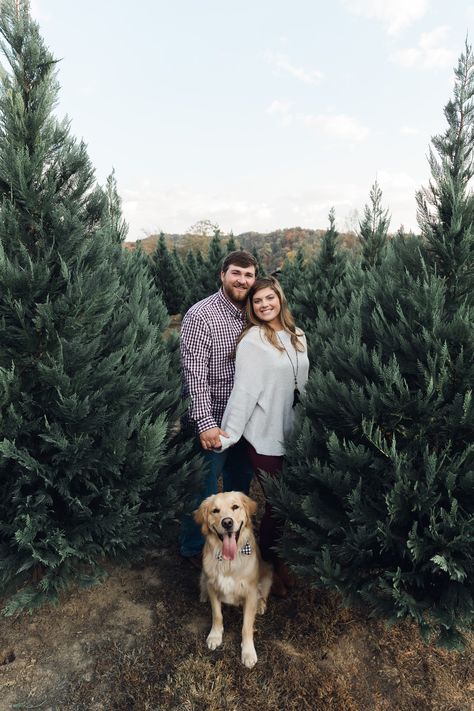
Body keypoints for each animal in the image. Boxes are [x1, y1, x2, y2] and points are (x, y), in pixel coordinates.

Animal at [193, 492, 274, 672]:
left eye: (235, 507)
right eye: (215, 510)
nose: (227, 522)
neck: (227, 560)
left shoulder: (250, 593)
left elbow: (247, 627)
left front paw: (248, 652)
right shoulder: (213, 586)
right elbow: (217, 615)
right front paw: (215, 636)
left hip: (267, 573)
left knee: (263, 595)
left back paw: (261, 605)